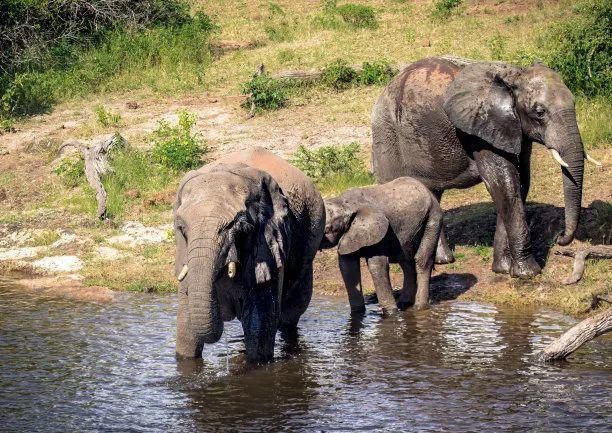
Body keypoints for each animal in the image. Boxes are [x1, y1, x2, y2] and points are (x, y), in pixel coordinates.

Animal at [172, 146, 326, 362]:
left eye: (240, 227)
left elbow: (259, 324)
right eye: (181, 228)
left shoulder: (267, 243)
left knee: (292, 312)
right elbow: (187, 330)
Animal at [320, 177, 440, 312]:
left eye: (328, 229)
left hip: (433, 219)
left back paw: (419, 307)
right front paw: (357, 313)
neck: (345, 203)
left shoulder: (379, 233)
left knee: (421, 260)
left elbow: (376, 265)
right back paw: (404, 303)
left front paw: (391, 313)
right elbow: (347, 267)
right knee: (406, 262)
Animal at [370, 56, 596, 276]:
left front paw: (503, 270)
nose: (560, 237)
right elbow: (504, 184)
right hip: (386, 137)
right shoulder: (480, 132)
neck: (514, 76)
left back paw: (443, 261)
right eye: (539, 112)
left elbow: (519, 184)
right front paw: (528, 273)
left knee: (431, 196)